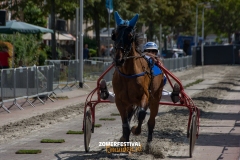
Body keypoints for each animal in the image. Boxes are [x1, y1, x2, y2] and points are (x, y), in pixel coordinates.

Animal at [111, 12, 164, 142]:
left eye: (130, 36)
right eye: (114, 35)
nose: (119, 59)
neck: (128, 75)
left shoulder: (145, 95)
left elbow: (141, 114)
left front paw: (135, 130)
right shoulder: (120, 100)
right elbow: (125, 123)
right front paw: (125, 137)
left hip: (156, 97)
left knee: (151, 120)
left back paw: (149, 142)